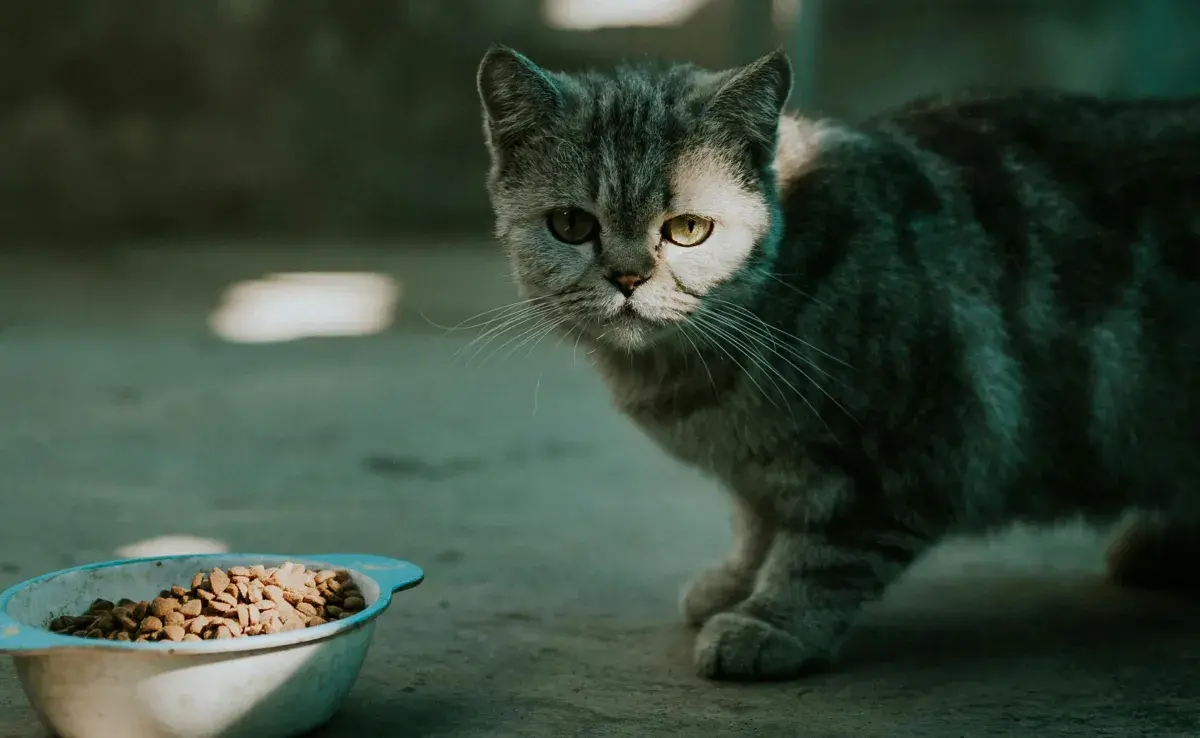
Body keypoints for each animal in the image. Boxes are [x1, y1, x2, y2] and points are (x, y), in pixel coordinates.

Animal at [472, 44, 1195, 681]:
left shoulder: (907, 446)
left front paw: (770, 619)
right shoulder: (762, 467)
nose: (627, 278)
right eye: (571, 225)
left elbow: (824, 554)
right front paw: (736, 581)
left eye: (687, 230)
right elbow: (755, 518)